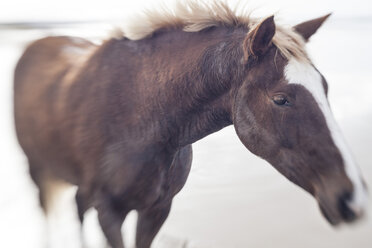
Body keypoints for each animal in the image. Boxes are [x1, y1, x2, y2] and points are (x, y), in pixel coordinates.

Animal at [13, 0, 368, 247]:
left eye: (325, 88)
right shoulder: (109, 212)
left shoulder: (156, 210)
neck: (139, 118)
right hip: (37, 170)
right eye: (281, 99)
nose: (353, 198)